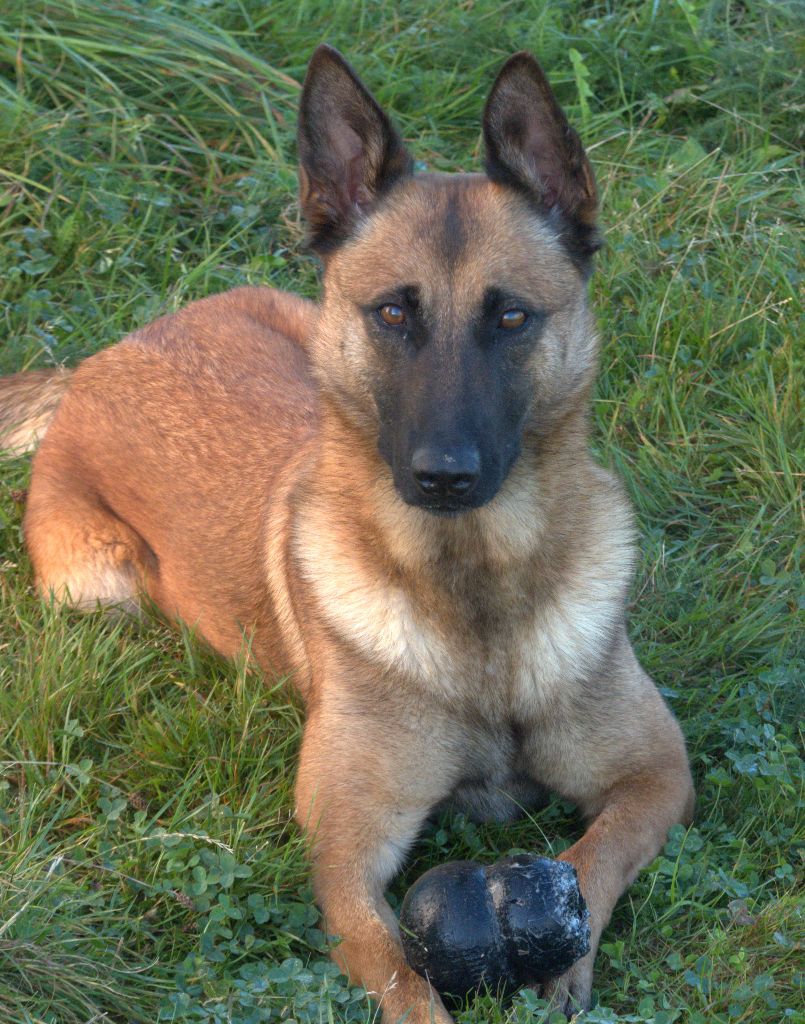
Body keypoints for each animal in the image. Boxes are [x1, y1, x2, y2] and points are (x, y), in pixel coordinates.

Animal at [0, 44, 688, 1019]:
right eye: (393, 313)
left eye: (511, 315)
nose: (443, 475)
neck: (474, 594)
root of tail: (100, 361)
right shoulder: (344, 857)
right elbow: (405, 978)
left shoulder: (655, 776)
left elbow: (589, 861)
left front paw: (562, 958)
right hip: (97, 589)